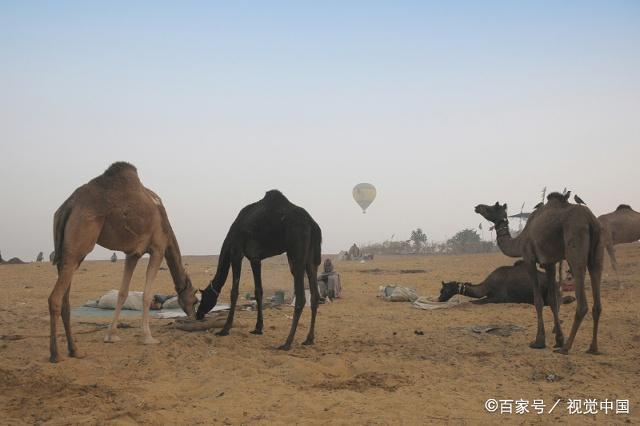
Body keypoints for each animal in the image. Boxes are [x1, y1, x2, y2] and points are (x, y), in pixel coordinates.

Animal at [48, 163, 198, 362]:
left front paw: (111, 335)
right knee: (55, 298)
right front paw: (148, 337)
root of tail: (68, 205)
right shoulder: (158, 248)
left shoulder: (132, 254)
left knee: (66, 300)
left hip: (64, 254)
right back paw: (55, 354)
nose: (195, 316)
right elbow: (146, 295)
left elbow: (122, 292)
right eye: (195, 300)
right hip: (79, 244)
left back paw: (74, 350)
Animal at [198, 190, 322, 350]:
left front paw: (225, 329)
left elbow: (234, 292)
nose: (198, 314)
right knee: (315, 294)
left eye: (203, 298)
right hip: (311, 258)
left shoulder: (236, 253)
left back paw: (287, 342)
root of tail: (313, 225)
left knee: (301, 297)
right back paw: (309, 339)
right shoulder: (255, 258)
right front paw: (258, 328)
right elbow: (258, 291)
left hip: (296, 253)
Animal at [440, 260, 576, 306]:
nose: (439, 299)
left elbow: (478, 301)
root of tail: (558, 283)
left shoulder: (501, 298)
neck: (487, 286)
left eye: (443, 290)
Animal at [476, 191, 604, 354]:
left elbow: (538, 300)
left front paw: (539, 341)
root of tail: (590, 220)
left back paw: (566, 348)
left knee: (581, 301)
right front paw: (558, 340)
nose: (477, 207)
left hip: (575, 244)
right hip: (598, 250)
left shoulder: (529, 258)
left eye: (492, 207)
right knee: (597, 291)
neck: (519, 241)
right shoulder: (549, 262)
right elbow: (553, 300)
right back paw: (592, 348)